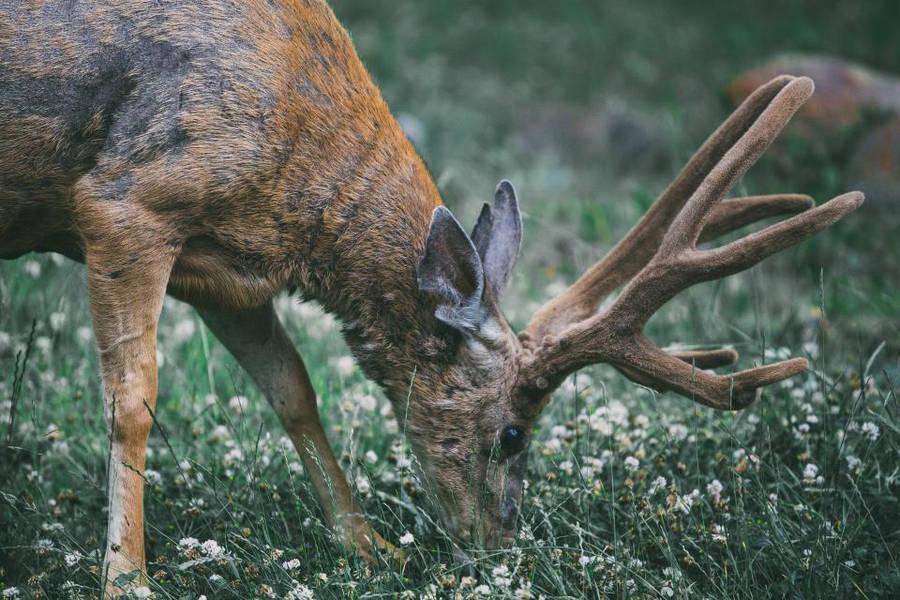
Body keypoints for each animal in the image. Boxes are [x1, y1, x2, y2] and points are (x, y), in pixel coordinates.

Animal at [0, 0, 862, 596]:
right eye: (512, 434)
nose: (499, 549)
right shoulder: (126, 202)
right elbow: (133, 402)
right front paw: (126, 578)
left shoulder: (225, 270)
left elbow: (292, 388)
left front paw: (366, 546)